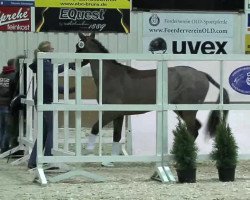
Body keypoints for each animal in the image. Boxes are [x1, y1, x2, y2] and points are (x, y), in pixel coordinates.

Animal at [75, 32, 229, 155]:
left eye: (79, 47)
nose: (72, 64)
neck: (110, 75)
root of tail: (202, 74)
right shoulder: (118, 115)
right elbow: (116, 137)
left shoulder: (111, 112)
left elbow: (95, 127)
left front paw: (88, 151)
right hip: (181, 110)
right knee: (196, 128)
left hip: (188, 110)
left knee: (193, 130)